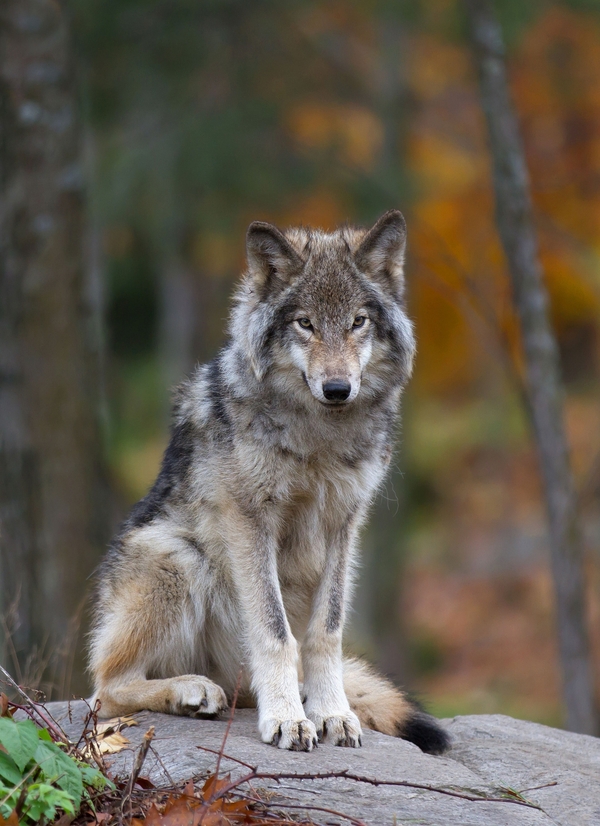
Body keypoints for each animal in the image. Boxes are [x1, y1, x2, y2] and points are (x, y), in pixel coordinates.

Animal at [90, 208, 450, 752]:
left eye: (357, 322)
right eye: (305, 323)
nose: (338, 388)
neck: (319, 436)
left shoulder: (345, 525)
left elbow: (325, 632)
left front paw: (331, 713)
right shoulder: (249, 519)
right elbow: (275, 630)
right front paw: (285, 719)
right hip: (178, 555)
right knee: (105, 691)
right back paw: (193, 691)